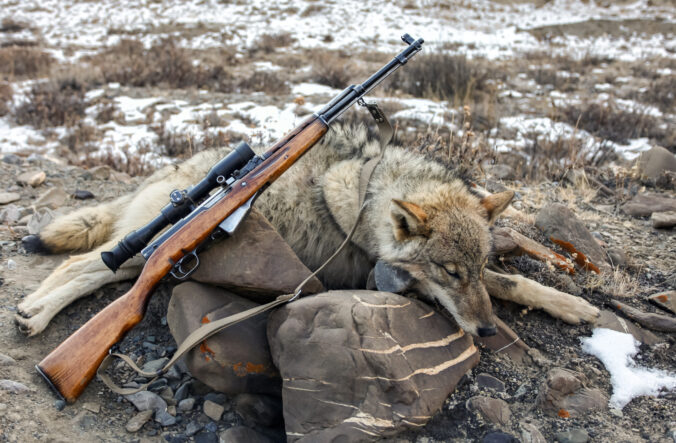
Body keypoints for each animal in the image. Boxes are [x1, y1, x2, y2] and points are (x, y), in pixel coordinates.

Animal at [15, 123, 596, 334]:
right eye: (450, 273)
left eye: (472, 269)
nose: (487, 333)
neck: (370, 189)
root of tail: (173, 176)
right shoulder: (381, 277)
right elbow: (511, 283)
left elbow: (512, 281)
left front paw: (573, 305)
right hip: (145, 253)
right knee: (82, 264)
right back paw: (35, 315)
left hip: (160, 262)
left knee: (93, 271)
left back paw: (33, 310)